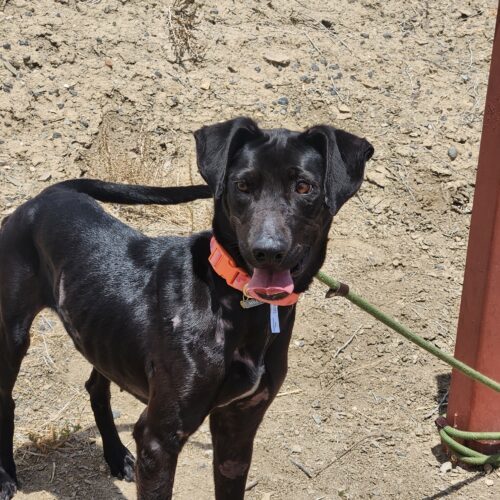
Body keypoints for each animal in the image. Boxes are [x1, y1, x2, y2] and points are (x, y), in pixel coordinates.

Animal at [0, 118, 372, 500]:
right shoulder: (159, 439)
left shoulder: (239, 430)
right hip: (13, 332)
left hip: (102, 335)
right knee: (6, 398)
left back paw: (115, 455)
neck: (237, 304)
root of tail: (47, 195)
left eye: (303, 187)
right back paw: (5, 475)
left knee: (96, 386)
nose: (266, 251)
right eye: (242, 185)